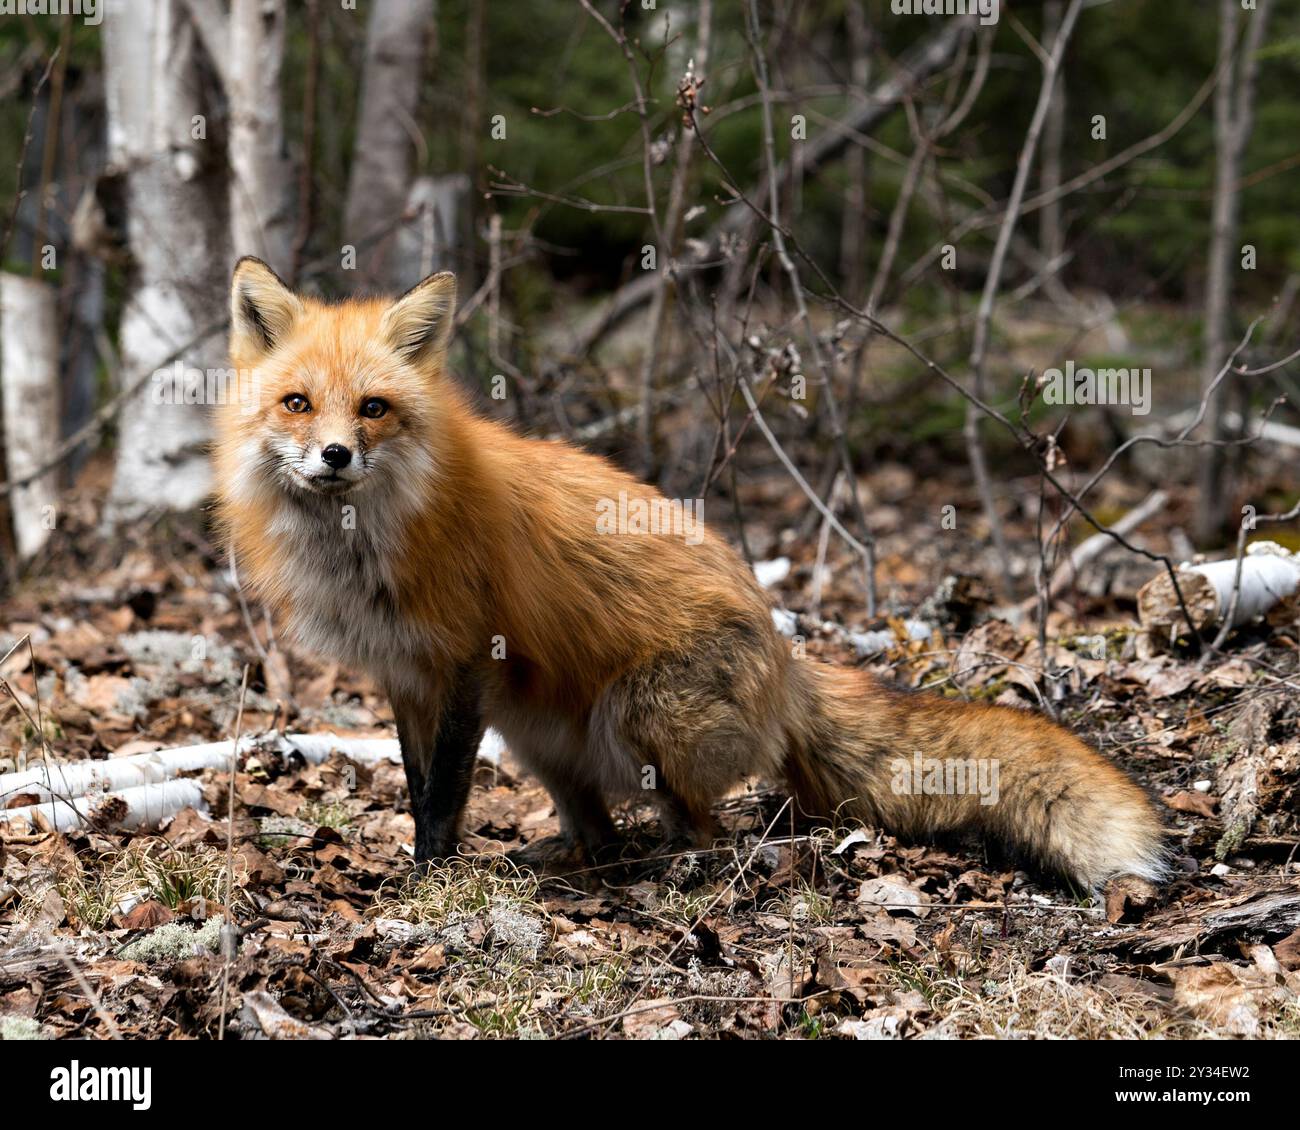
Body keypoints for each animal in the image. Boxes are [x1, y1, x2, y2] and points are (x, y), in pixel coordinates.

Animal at [213, 260, 1170, 894]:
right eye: (298, 404)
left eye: (373, 409)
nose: (335, 456)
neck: (371, 543)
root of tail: (787, 661)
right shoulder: (407, 675)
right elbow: (419, 789)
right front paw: (423, 869)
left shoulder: (464, 662)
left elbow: (444, 793)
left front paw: (433, 884)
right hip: (536, 734)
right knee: (601, 827)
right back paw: (574, 861)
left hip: (640, 717)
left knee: (706, 828)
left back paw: (684, 873)